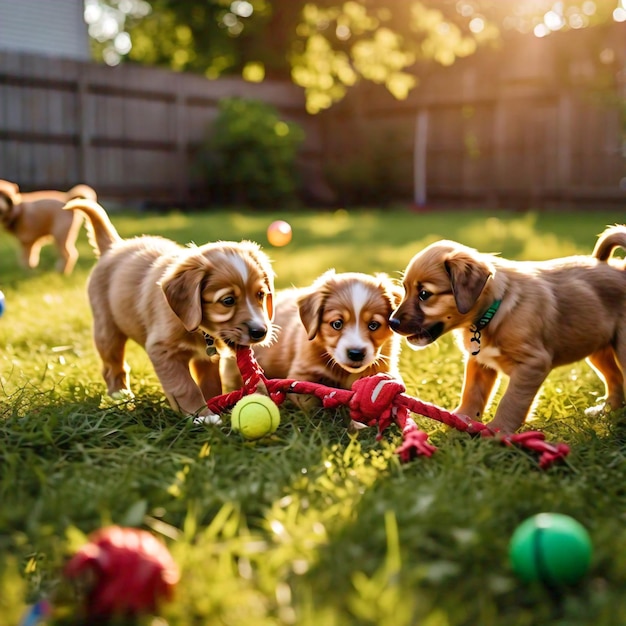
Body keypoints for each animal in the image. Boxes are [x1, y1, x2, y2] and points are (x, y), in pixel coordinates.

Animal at [62, 197, 272, 422]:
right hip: (107, 331)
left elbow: (210, 384)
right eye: (228, 300)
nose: (260, 332)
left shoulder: (206, 358)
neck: (199, 329)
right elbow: (185, 386)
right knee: (113, 367)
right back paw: (120, 397)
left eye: (260, 295)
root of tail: (114, 246)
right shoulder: (162, 350)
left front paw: (212, 407)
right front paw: (202, 415)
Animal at [388, 224, 624, 434]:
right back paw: (605, 412)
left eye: (424, 294)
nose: (392, 323)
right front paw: (462, 420)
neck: (495, 309)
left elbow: (510, 401)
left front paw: (498, 431)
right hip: (598, 349)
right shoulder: (479, 362)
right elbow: (472, 393)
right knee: (615, 380)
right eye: (405, 289)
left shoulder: (532, 364)